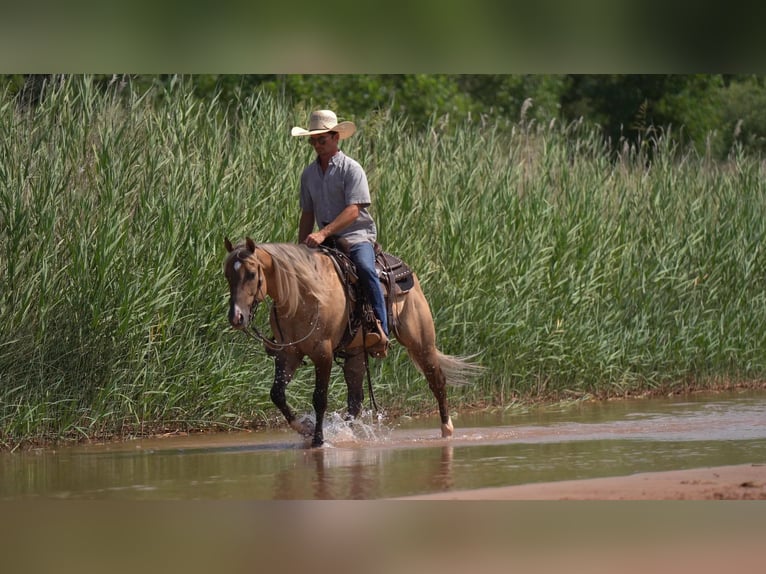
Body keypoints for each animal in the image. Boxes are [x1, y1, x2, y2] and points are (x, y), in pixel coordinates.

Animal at [223, 237, 481, 447]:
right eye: (228, 275)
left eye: (251, 274)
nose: (236, 317)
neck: (302, 296)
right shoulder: (289, 354)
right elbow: (277, 394)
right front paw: (306, 428)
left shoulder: (323, 354)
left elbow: (319, 398)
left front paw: (318, 440)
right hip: (356, 353)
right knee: (355, 401)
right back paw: (346, 434)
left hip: (421, 342)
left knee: (437, 380)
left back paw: (447, 430)